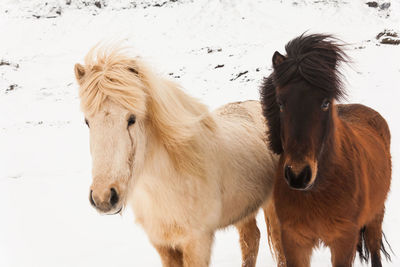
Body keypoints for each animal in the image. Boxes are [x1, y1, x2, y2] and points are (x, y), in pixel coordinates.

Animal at [75, 46, 280, 267]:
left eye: (131, 118)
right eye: (87, 121)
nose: (103, 197)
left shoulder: (197, 242)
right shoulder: (162, 244)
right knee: (251, 239)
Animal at [260, 33, 392, 267]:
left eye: (324, 103)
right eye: (281, 103)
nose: (298, 175)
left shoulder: (343, 241)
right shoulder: (294, 241)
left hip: (376, 216)